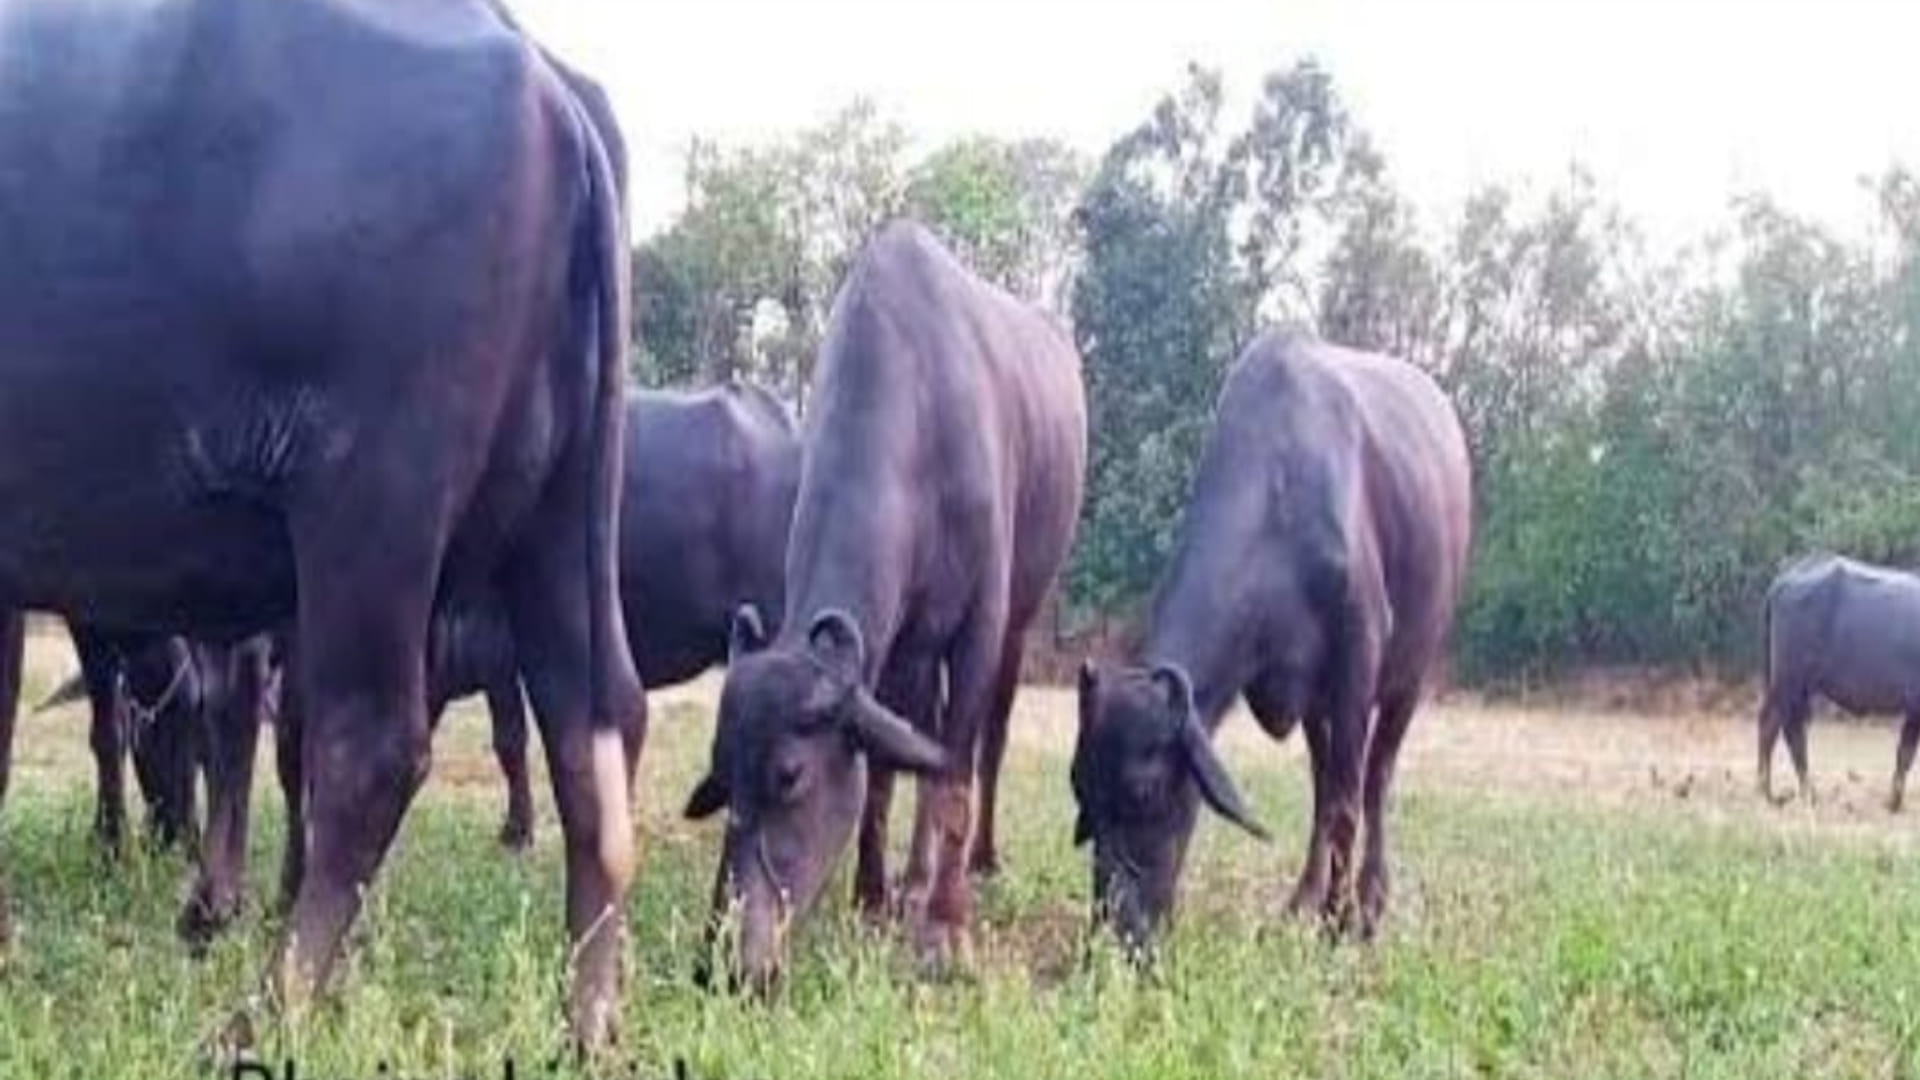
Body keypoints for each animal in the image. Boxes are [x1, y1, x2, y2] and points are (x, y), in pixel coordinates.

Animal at [0, 0, 640, 1045]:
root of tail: (544, 79)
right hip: (556, 516)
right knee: (596, 727)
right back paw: (584, 1020)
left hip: (372, 506)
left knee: (370, 748)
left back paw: (263, 1013)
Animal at [685, 221, 1088, 990]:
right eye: (722, 771)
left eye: (790, 775)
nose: (726, 965)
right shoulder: (896, 645)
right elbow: (883, 776)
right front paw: (872, 898)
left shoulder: (978, 627)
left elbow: (953, 776)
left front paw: (946, 928)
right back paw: (912, 880)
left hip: (1022, 618)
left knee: (988, 742)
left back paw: (976, 864)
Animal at [1072, 332, 1471, 950]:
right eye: (1080, 789)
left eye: (1144, 790)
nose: (1119, 932)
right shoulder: (1307, 693)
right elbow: (1326, 793)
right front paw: (1313, 907)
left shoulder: (1356, 665)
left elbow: (1348, 802)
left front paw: (1337, 923)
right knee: (1325, 783)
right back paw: (1303, 898)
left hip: (1411, 673)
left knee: (1376, 780)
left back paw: (1368, 904)